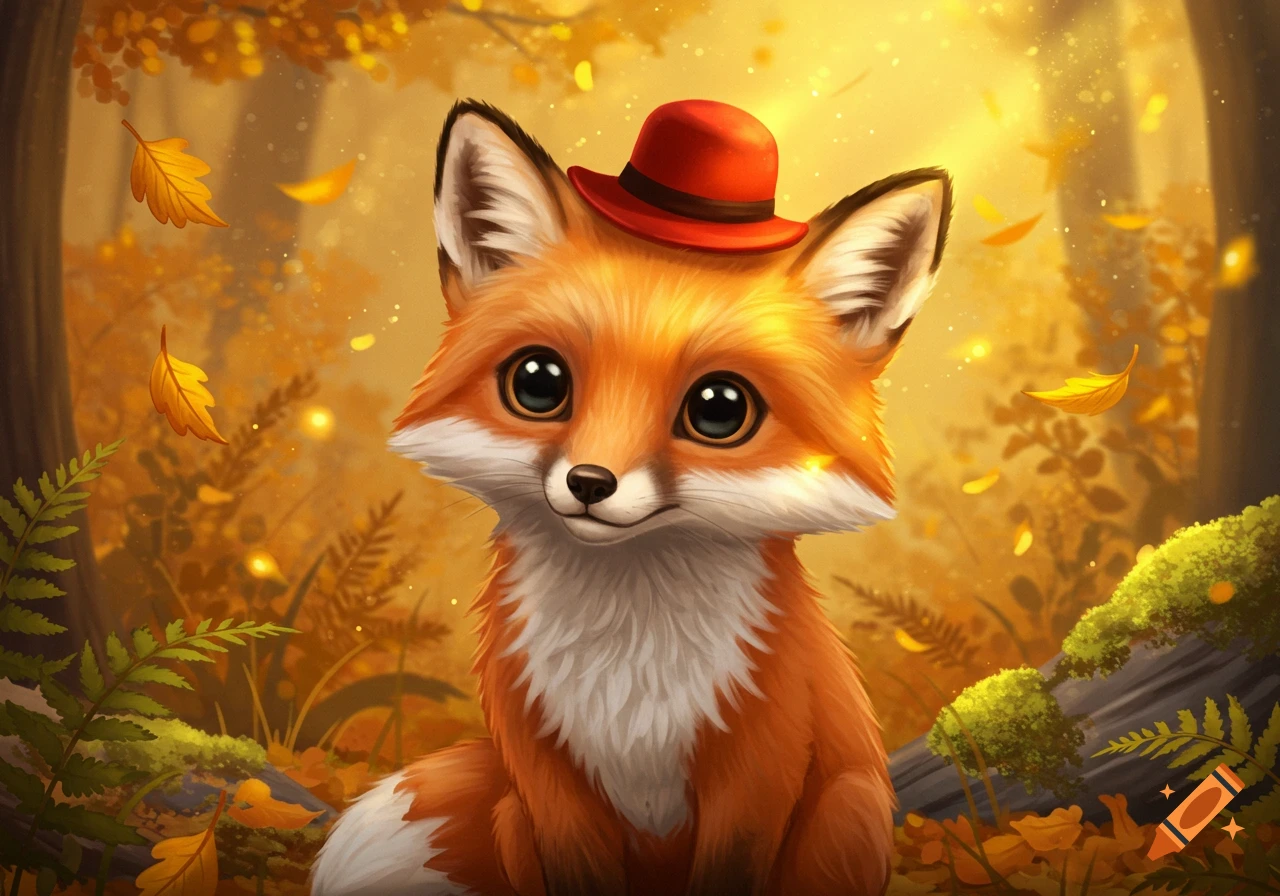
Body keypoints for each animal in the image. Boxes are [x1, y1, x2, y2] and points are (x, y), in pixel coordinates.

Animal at [311, 98, 952, 896]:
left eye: (718, 409)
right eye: (538, 382)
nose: (590, 483)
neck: (628, 672)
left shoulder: (757, 777)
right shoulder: (549, 780)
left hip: (849, 812)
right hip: (511, 814)